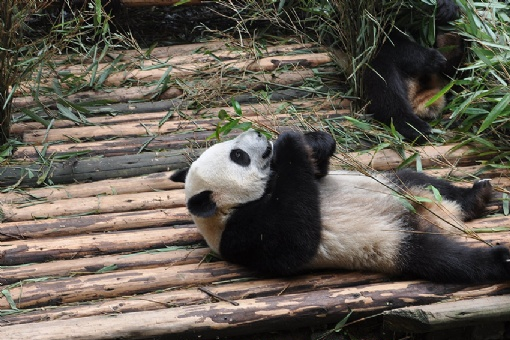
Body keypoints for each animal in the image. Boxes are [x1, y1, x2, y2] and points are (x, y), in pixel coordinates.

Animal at [171, 129, 510, 282]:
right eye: (238, 156)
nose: (257, 133)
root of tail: (436, 218)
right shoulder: (242, 234)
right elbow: (293, 242)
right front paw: (289, 141)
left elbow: (316, 171)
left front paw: (313, 141)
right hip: (392, 244)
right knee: (446, 259)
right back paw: (498, 259)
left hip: (397, 185)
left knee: (424, 181)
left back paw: (476, 196)